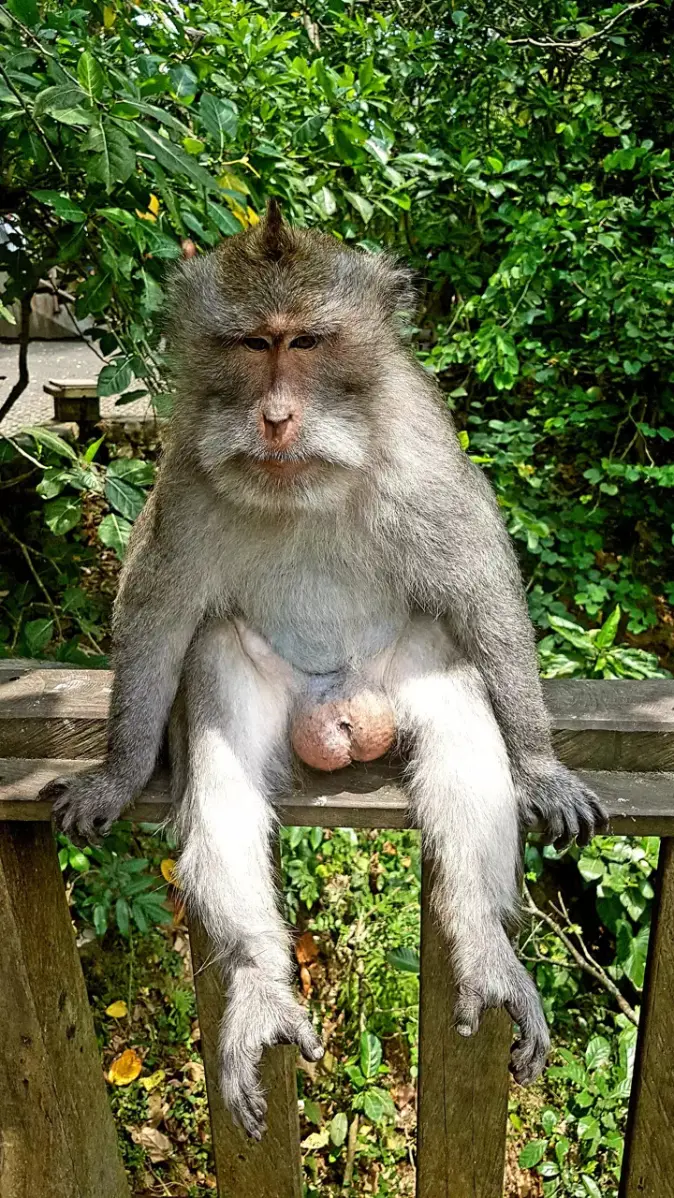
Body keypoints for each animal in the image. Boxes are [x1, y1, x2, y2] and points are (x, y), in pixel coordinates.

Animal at [42, 201, 605, 1140]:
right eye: (249, 343)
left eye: (305, 342)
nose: (274, 416)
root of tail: (337, 707)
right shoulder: (186, 472)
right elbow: (157, 608)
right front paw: (118, 774)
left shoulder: (421, 457)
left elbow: (480, 582)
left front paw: (540, 765)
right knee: (216, 709)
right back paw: (260, 982)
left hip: (398, 671)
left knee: (457, 696)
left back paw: (485, 949)